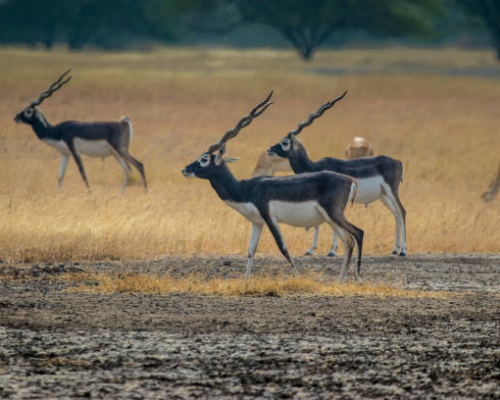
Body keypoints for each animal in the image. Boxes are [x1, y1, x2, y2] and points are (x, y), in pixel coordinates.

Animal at [13, 69, 146, 195]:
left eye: (28, 110)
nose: (16, 118)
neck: (57, 131)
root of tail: (123, 123)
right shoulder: (65, 154)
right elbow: (60, 177)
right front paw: (55, 196)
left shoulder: (75, 151)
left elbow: (83, 174)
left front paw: (91, 195)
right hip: (115, 154)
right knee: (128, 170)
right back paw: (120, 195)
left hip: (121, 150)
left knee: (139, 165)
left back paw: (145, 192)